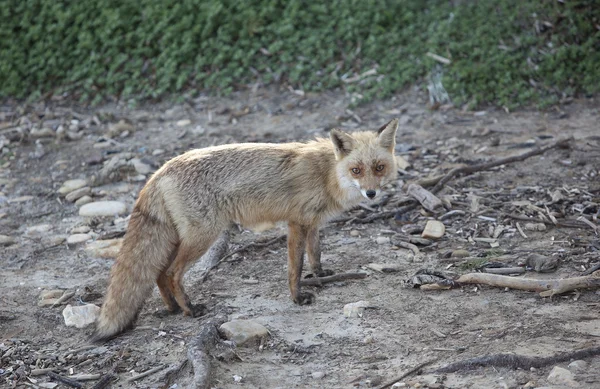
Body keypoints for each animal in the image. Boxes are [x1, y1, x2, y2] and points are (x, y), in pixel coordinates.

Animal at [90, 117, 398, 340]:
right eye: (356, 170)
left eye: (379, 167)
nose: (371, 193)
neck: (327, 174)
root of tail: (160, 170)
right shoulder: (296, 222)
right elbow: (295, 267)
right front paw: (297, 297)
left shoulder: (312, 223)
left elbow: (315, 253)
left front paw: (321, 275)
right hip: (203, 236)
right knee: (172, 273)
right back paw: (189, 309)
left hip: (179, 239)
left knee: (158, 275)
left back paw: (173, 308)